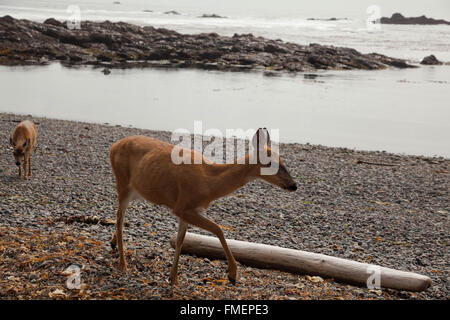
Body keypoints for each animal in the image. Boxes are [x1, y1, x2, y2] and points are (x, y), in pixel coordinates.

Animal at [109, 127, 298, 284]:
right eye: (271, 163)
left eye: (283, 161)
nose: (294, 185)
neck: (209, 182)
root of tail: (113, 146)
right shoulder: (182, 206)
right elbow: (218, 229)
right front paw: (232, 273)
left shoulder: (187, 211)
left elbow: (180, 240)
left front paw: (173, 278)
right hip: (123, 182)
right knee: (119, 218)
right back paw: (123, 264)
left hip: (137, 191)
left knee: (119, 217)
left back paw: (113, 244)